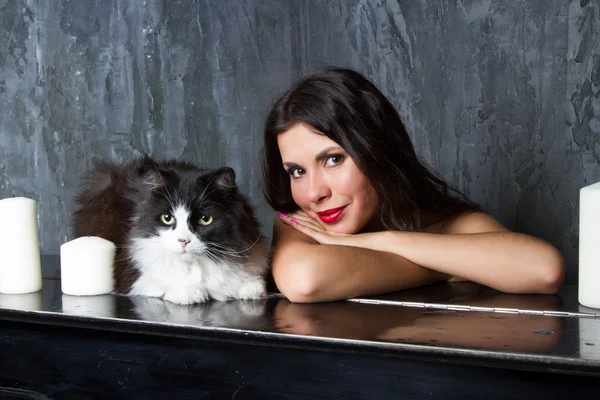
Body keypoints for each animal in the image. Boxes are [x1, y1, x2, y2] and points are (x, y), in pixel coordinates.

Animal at [71, 155, 268, 304]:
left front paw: (250, 288)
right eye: (167, 218)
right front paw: (191, 293)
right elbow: (162, 282)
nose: (183, 241)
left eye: (205, 219)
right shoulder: (130, 275)